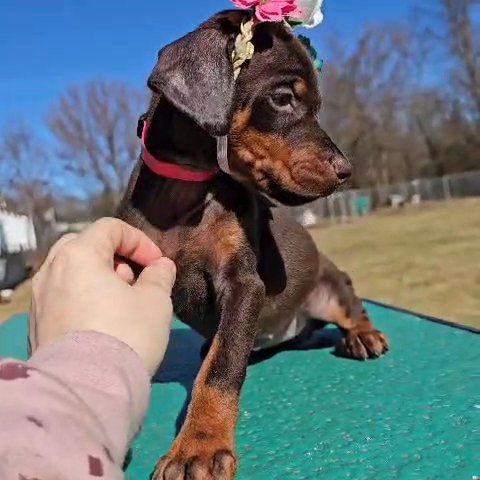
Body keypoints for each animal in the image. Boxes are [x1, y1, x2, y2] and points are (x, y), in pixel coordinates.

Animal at [117, 8, 390, 480]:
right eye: (282, 99)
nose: (346, 170)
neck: (188, 188)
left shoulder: (244, 284)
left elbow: (222, 367)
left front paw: (199, 446)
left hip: (332, 284)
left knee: (352, 308)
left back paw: (363, 335)